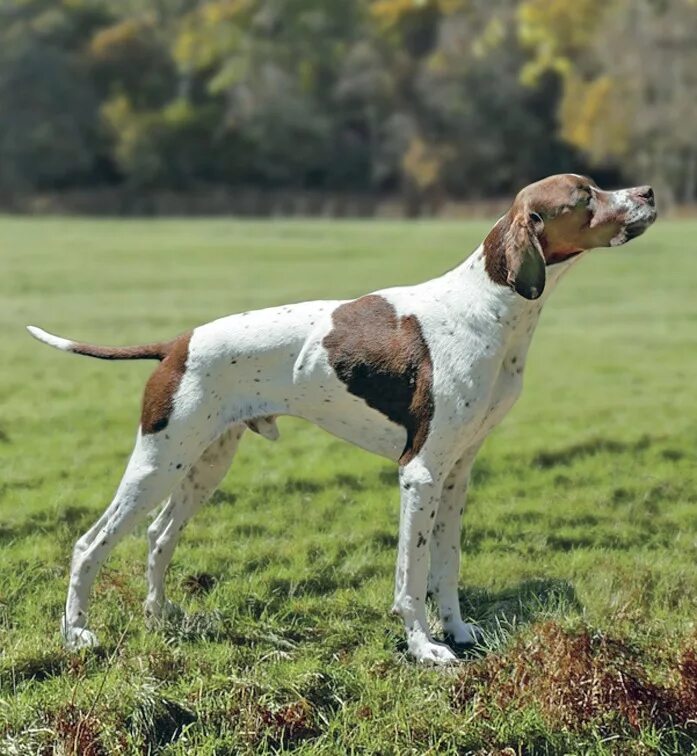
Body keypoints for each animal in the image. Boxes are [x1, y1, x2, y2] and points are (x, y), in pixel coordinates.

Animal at [29, 174, 656, 664]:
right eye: (585, 195)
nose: (649, 192)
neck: (486, 308)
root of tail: (177, 344)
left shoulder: (456, 475)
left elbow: (446, 567)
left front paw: (456, 631)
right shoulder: (419, 473)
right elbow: (412, 573)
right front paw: (424, 648)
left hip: (204, 463)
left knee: (159, 537)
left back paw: (161, 618)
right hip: (157, 463)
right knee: (89, 545)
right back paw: (76, 634)